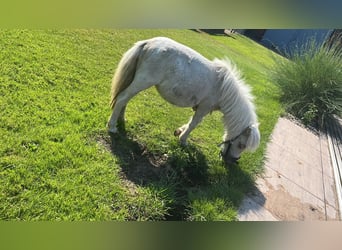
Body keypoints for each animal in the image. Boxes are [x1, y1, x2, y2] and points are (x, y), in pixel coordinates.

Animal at [108, 36, 260, 164]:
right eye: (241, 145)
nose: (233, 161)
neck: (222, 87)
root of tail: (148, 42)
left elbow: (190, 122)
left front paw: (179, 131)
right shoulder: (204, 107)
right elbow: (194, 124)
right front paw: (183, 140)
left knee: (125, 99)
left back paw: (121, 120)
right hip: (142, 82)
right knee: (122, 99)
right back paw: (112, 126)